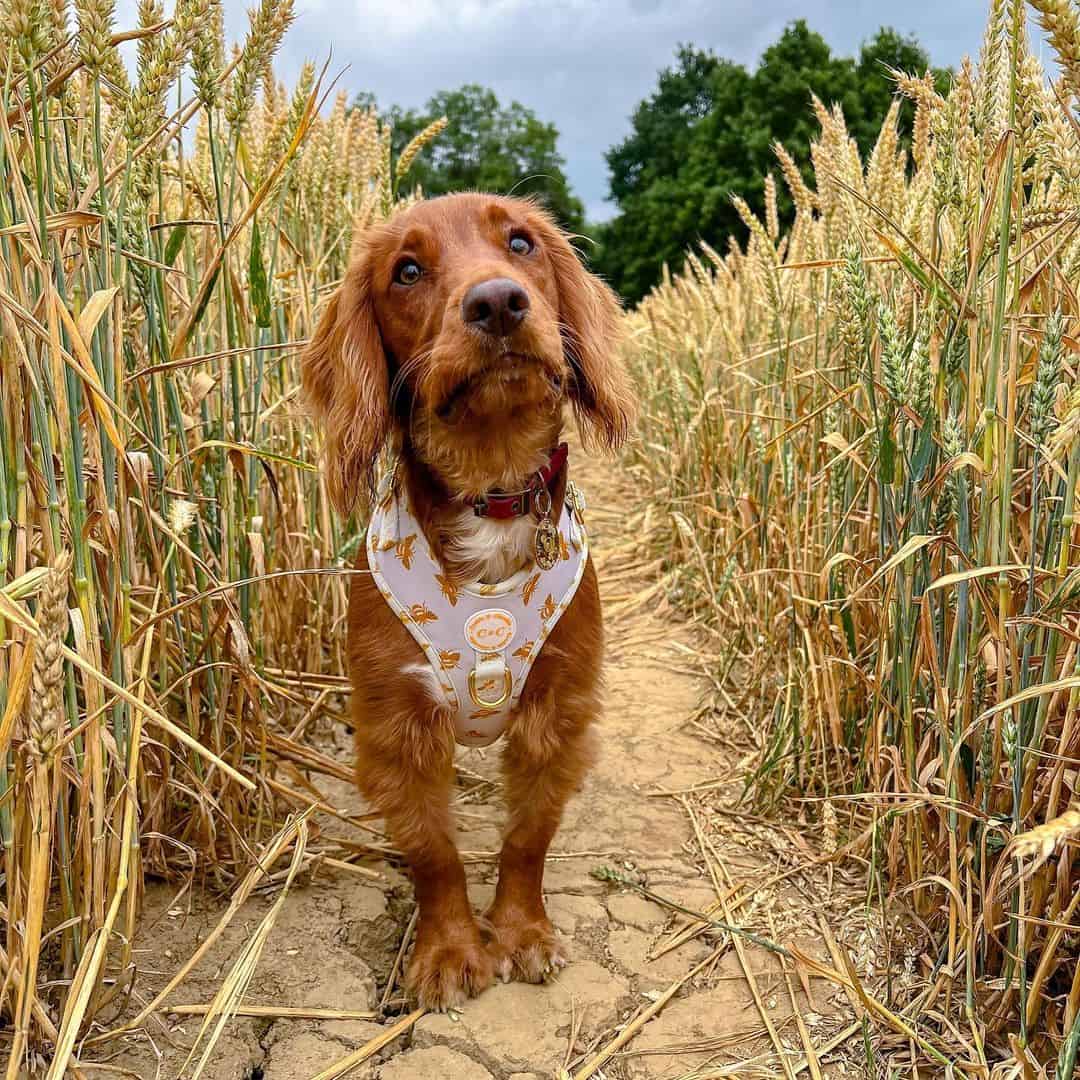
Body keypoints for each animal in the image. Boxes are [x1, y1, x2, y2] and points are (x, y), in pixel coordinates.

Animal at [300, 194, 630, 1010]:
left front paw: (520, 934)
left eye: (521, 242)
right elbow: (434, 852)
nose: (498, 302)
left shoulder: (558, 710)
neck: (490, 484)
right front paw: (450, 951)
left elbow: (527, 837)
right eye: (407, 271)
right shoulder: (398, 727)